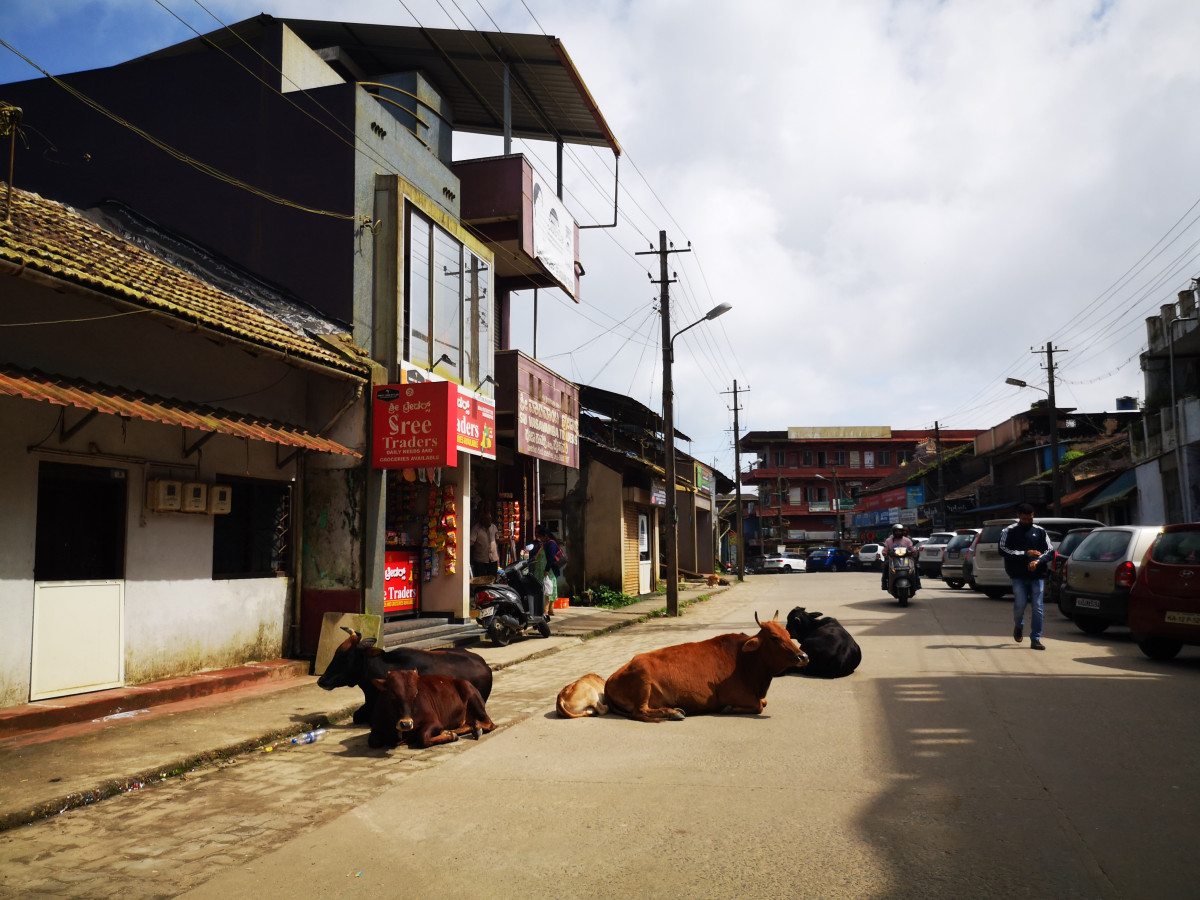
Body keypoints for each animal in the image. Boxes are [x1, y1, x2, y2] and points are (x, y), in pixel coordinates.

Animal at [600, 609, 806, 724]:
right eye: (774, 638)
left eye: (788, 634)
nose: (803, 656)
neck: (746, 661)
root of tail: (609, 679)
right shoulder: (734, 695)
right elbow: (759, 706)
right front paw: (729, 709)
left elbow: (763, 702)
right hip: (643, 679)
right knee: (640, 711)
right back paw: (673, 713)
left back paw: (672, 712)